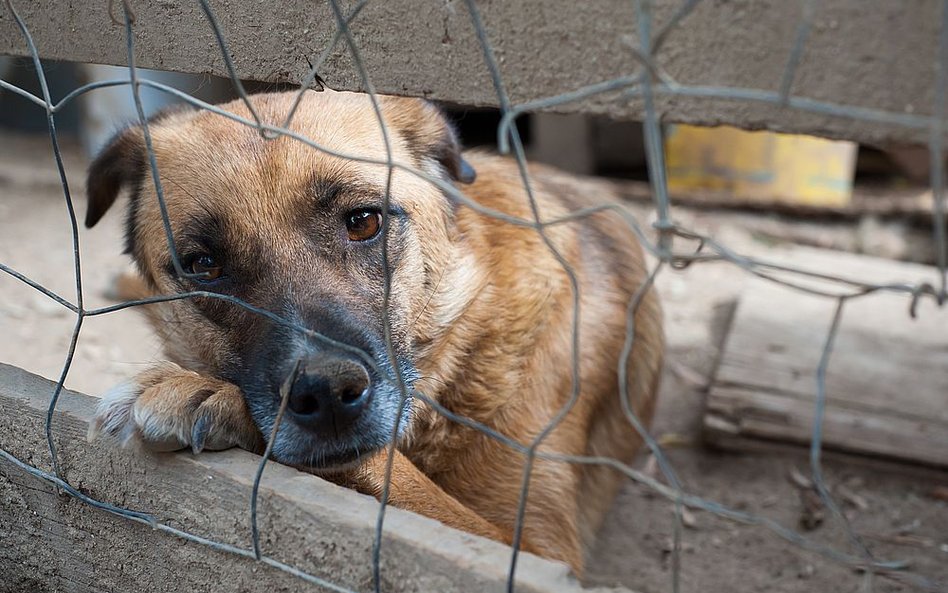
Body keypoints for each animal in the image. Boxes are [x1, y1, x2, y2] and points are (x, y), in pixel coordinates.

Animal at [85, 89, 664, 572]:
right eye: (204, 265)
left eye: (364, 221)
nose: (326, 393)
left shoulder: (538, 553)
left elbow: (393, 472)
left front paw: (208, 393)